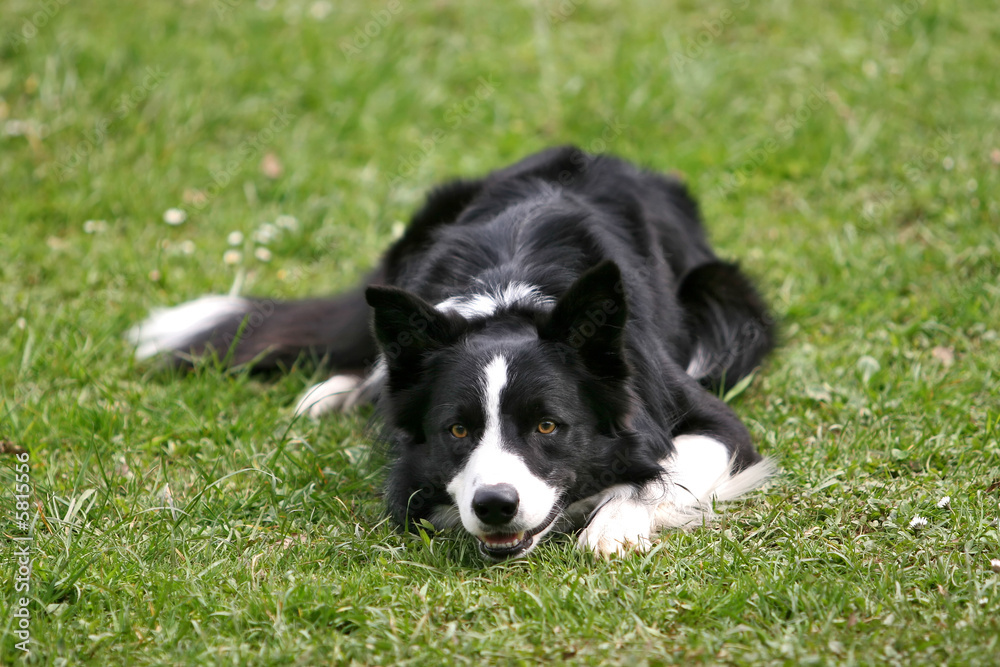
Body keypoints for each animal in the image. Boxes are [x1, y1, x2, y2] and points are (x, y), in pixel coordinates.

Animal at [129, 146, 776, 560]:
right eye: (457, 431)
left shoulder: (712, 419)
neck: (508, 301)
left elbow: (662, 472)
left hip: (727, 304)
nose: (494, 506)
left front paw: (613, 524)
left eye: (548, 426)